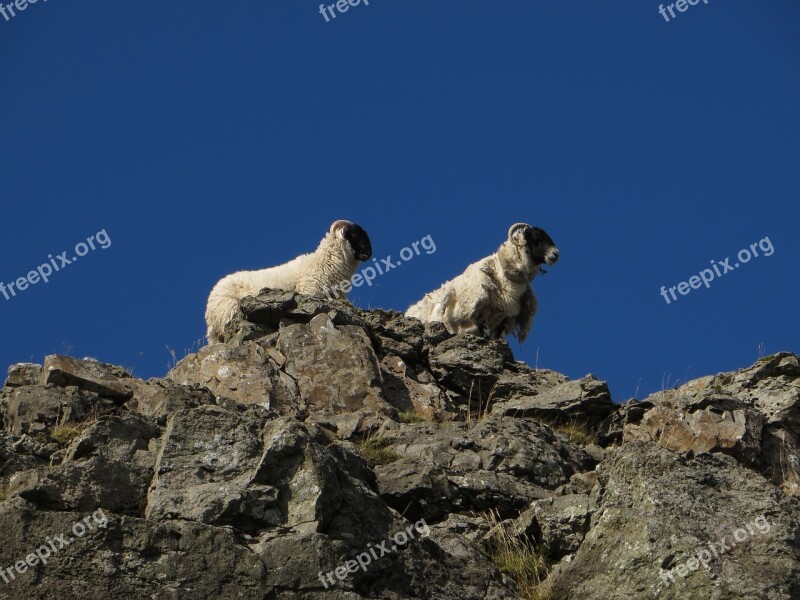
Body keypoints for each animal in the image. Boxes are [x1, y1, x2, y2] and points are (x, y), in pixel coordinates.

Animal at [406, 223, 556, 342]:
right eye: (535, 235)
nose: (556, 254)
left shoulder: (505, 320)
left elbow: (498, 339)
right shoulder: (481, 313)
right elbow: (484, 333)